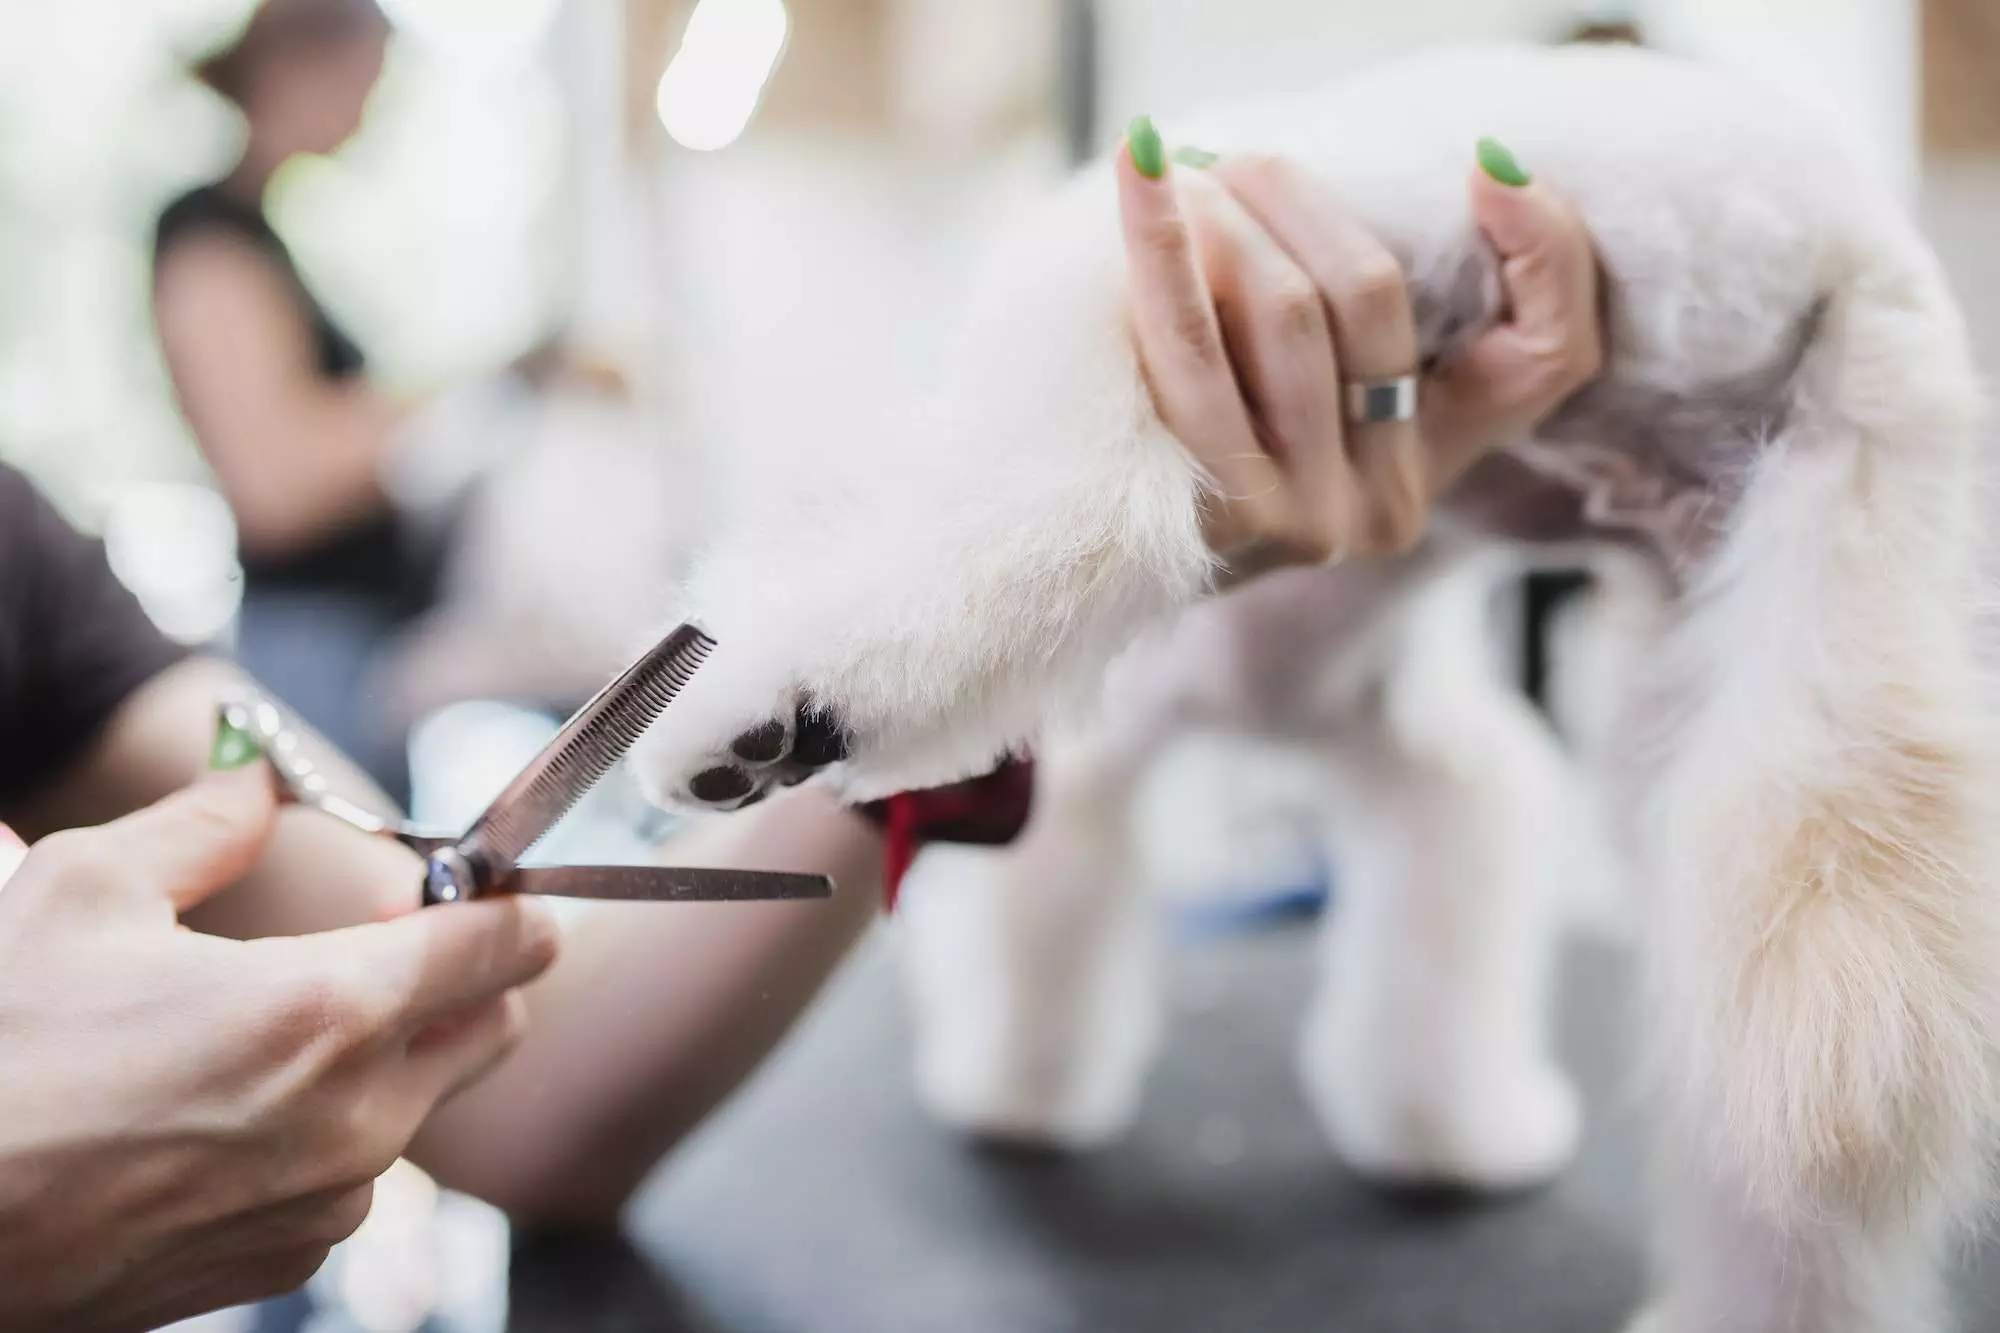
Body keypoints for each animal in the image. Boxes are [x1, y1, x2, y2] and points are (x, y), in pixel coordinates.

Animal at [644, 41, 2000, 1328]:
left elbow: (1036, 915)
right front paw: (1442, 1132)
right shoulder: (1423, 775)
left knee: (1071, 512)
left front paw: (1012, 1086)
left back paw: (778, 712)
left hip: (1165, 250)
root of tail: (1846, 238)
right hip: (1748, 652)